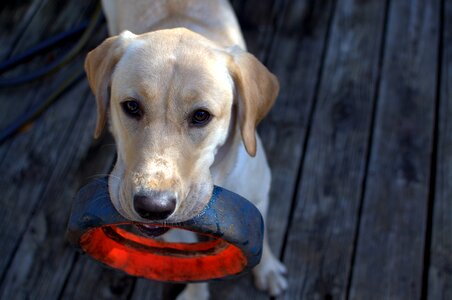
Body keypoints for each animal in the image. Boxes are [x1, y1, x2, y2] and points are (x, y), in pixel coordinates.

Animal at [85, 0, 286, 298]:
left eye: (201, 116)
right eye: (131, 106)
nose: (153, 207)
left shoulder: (260, 195)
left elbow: (265, 238)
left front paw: (268, 270)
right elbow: (193, 263)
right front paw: (195, 294)